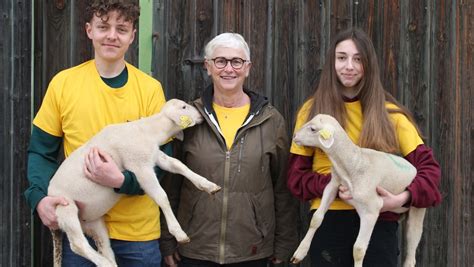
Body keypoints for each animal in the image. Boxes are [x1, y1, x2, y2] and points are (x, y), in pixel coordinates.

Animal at [47, 99, 221, 267]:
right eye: (184, 107)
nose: (200, 114)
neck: (147, 131)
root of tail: (49, 192)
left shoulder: (155, 157)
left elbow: (178, 165)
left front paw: (208, 186)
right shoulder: (140, 166)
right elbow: (161, 197)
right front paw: (179, 233)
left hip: (93, 222)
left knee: (104, 246)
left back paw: (108, 263)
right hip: (65, 207)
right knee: (78, 244)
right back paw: (104, 263)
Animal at [288, 114, 426, 266]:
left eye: (313, 129)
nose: (295, 136)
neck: (354, 162)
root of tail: (413, 167)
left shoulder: (371, 209)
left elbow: (359, 249)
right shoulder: (333, 185)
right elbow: (316, 218)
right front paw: (300, 252)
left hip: (417, 210)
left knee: (412, 246)